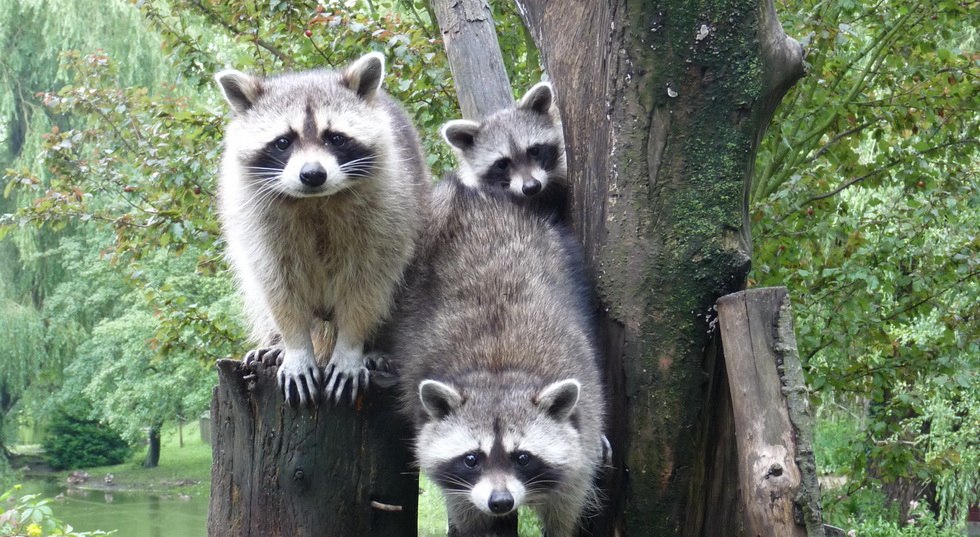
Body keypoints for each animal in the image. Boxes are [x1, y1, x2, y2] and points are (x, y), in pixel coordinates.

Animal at [216, 53, 430, 406]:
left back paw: (379, 349)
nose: (313, 175)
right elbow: (277, 287)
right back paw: (275, 343)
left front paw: (351, 347)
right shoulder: (257, 221)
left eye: (336, 138)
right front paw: (295, 345)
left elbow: (368, 286)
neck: (314, 201)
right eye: (283, 142)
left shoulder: (389, 213)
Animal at [392, 177, 604, 536]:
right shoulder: (459, 484)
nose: (501, 502)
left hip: (559, 249)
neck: (500, 371)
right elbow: (468, 514)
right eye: (471, 459)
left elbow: (566, 509)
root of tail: (473, 196)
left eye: (523, 457)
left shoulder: (583, 432)